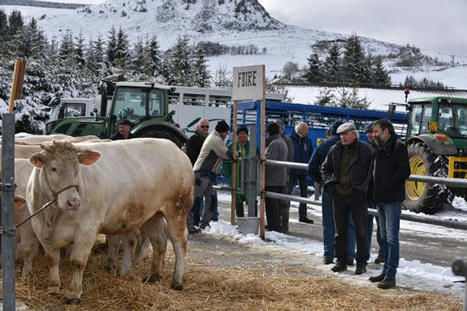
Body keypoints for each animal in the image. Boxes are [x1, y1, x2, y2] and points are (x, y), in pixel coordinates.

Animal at [26, 140, 194, 304]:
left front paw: (73, 294)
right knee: (159, 240)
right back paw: (153, 276)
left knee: (179, 242)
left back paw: (177, 281)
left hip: (177, 210)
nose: (73, 202)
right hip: (151, 215)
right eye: (53, 168)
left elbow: (77, 262)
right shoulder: (39, 227)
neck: (51, 216)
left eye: (77, 169)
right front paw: (53, 288)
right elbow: (52, 260)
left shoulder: (87, 229)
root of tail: (175, 148)